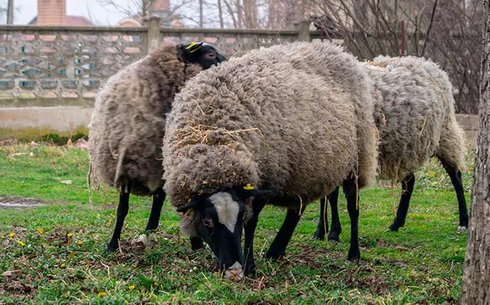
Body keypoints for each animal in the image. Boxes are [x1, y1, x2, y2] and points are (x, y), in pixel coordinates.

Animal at [163, 41, 378, 280]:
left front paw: (249, 266)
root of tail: (336, 49)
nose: (233, 269)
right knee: (297, 208)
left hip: (357, 159)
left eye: (240, 218)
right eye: (207, 221)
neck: (212, 139)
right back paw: (276, 250)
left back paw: (353, 254)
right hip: (305, 166)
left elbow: (252, 225)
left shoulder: (263, 179)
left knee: (353, 206)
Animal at [312, 54, 468, 240]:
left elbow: (332, 195)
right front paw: (320, 232)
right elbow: (326, 196)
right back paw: (396, 223)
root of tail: (432, 65)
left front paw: (333, 232)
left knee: (456, 177)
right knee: (410, 181)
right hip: (405, 147)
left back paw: (464, 222)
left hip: (445, 134)